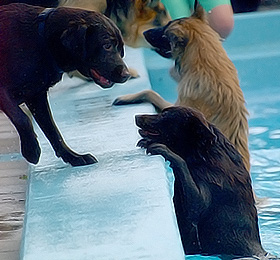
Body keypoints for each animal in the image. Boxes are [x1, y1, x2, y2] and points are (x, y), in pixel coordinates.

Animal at [0, 4, 130, 166]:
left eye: (121, 49)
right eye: (107, 46)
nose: (126, 75)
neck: (42, 42)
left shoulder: (37, 97)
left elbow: (53, 131)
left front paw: (74, 157)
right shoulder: (4, 92)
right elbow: (23, 119)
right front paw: (31, 150)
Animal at [135, 105, 276, 258]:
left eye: (164, 114)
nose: (136, 116)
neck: (204, 154)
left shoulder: (205, 193)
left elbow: (182, 166)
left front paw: (161, 148)